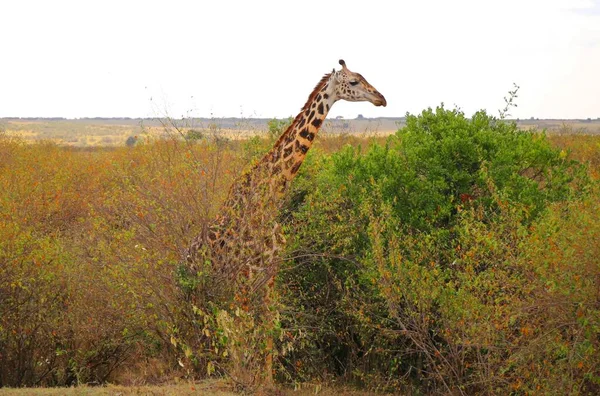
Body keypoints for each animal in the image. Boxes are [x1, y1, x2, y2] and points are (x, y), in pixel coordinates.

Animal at [185, 59, 386, 386]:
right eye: (354, 81)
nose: (381, 98)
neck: (272, 198)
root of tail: (184, 255)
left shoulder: (270, 273)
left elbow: (268, 326)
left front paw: (266, 380)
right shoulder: (244, 275)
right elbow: (243, 327)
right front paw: (243, 378)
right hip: (199, 289)